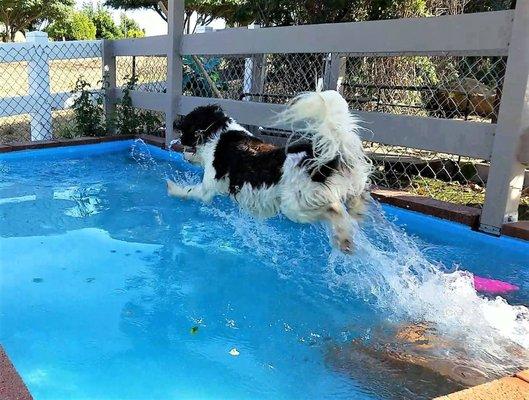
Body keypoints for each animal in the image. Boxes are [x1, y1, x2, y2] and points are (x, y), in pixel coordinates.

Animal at [167, 90, 370, 253]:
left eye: (186, 123)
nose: (175, 124)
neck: (217, 135)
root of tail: (318, 157)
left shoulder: (208, 188)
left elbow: (188, 191)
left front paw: (171, 188)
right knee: (353, 200)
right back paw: (356, 213)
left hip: (295, 206)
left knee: (334, 209)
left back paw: (344, 237)